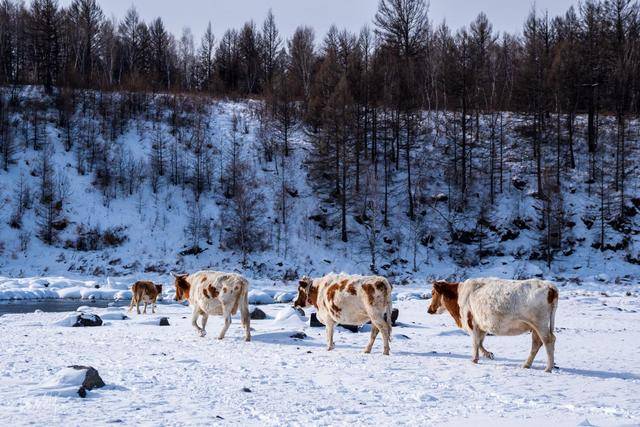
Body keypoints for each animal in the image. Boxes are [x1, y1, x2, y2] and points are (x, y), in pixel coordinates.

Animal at [430, 280, 560, 372]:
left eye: (433, 293)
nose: (429, 309)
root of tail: (549, 286)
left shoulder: (471, 323)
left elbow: (475, 342)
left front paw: (474, 359)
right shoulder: (481, 325)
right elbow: (480, 342)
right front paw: (488, 354)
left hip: (540, 324)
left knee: (548, 340)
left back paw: (548, 368)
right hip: (534, 327)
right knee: (536, 343)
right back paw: (526, 364)